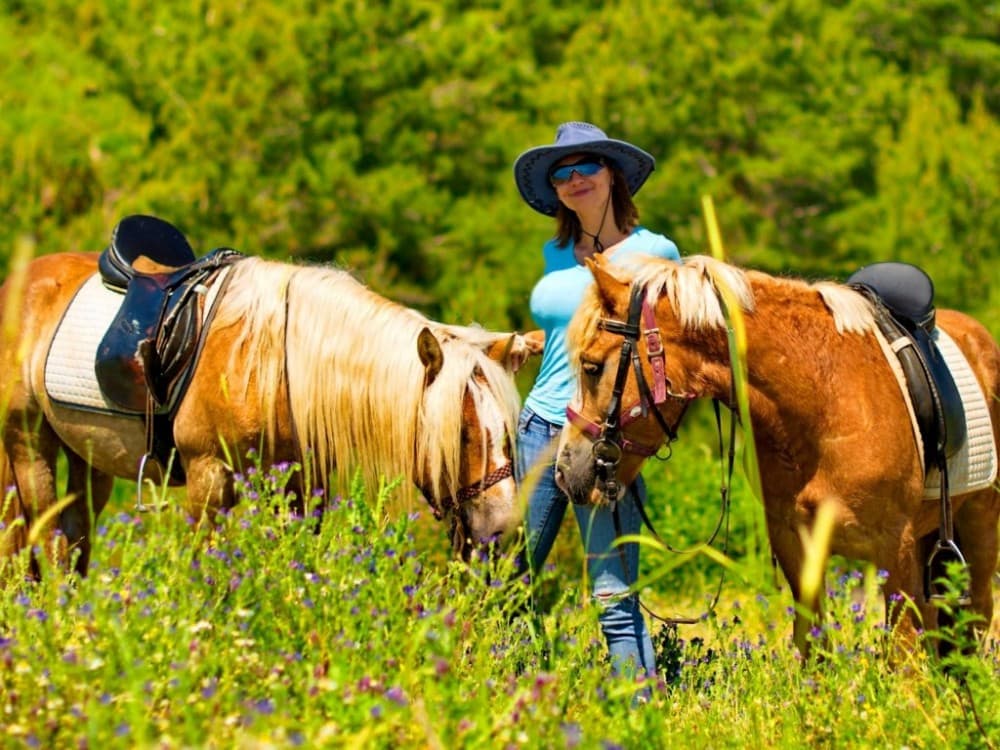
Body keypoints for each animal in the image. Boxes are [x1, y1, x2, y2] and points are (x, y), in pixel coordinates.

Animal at [0, 242, 541, 579]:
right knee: (42, 540)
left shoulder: (300, 482)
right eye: (462, 434)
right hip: (28, 446)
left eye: (507, 433)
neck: (273, 364)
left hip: (88, 458)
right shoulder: (209, 478)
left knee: (73, 540)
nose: (500, 531)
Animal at [554, 253, 1000, 655]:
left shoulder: (896, 547)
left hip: (978, 523)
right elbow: (812, 646)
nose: (564, 469)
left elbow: (903, 657)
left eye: (591, 366)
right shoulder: (795, 543)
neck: (825, 400)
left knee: (975, 618)